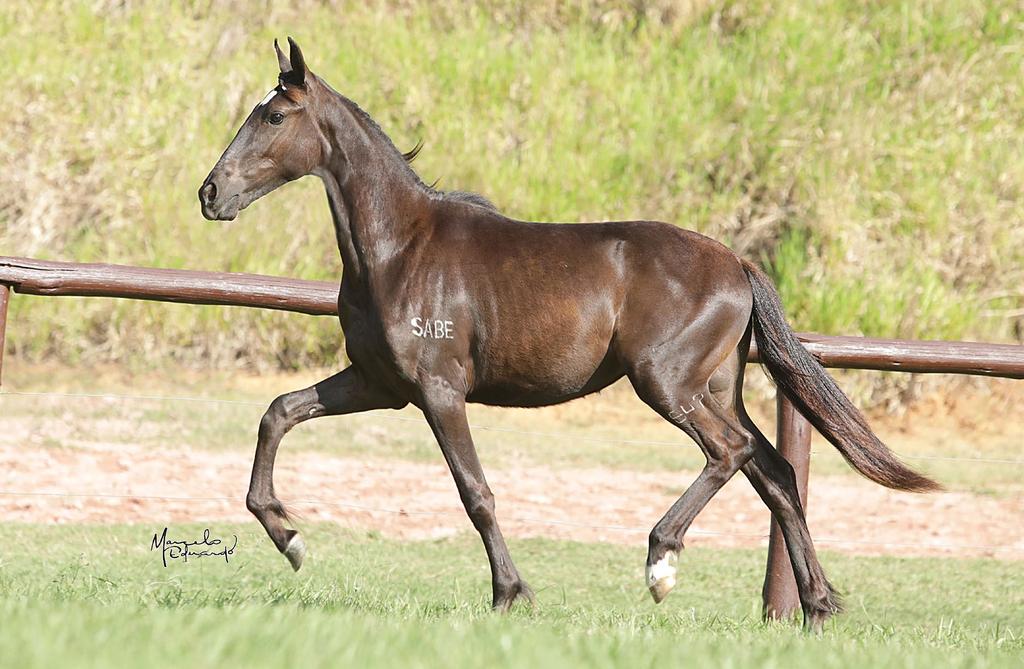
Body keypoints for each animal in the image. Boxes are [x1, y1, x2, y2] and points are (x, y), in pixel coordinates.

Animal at [195, 39, 937, 626]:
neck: (399, 248)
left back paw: (661, 564)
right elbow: (278, 412)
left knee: (730, 453)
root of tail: (738, 263)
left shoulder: (438, 390)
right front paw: (289, 537)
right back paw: (817, 605)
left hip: (667, 384)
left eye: (274, 114)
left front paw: (511, 593)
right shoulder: (379, 382)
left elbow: (475, 491)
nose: (210, 193)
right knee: (775, 472)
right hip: (716, 387)